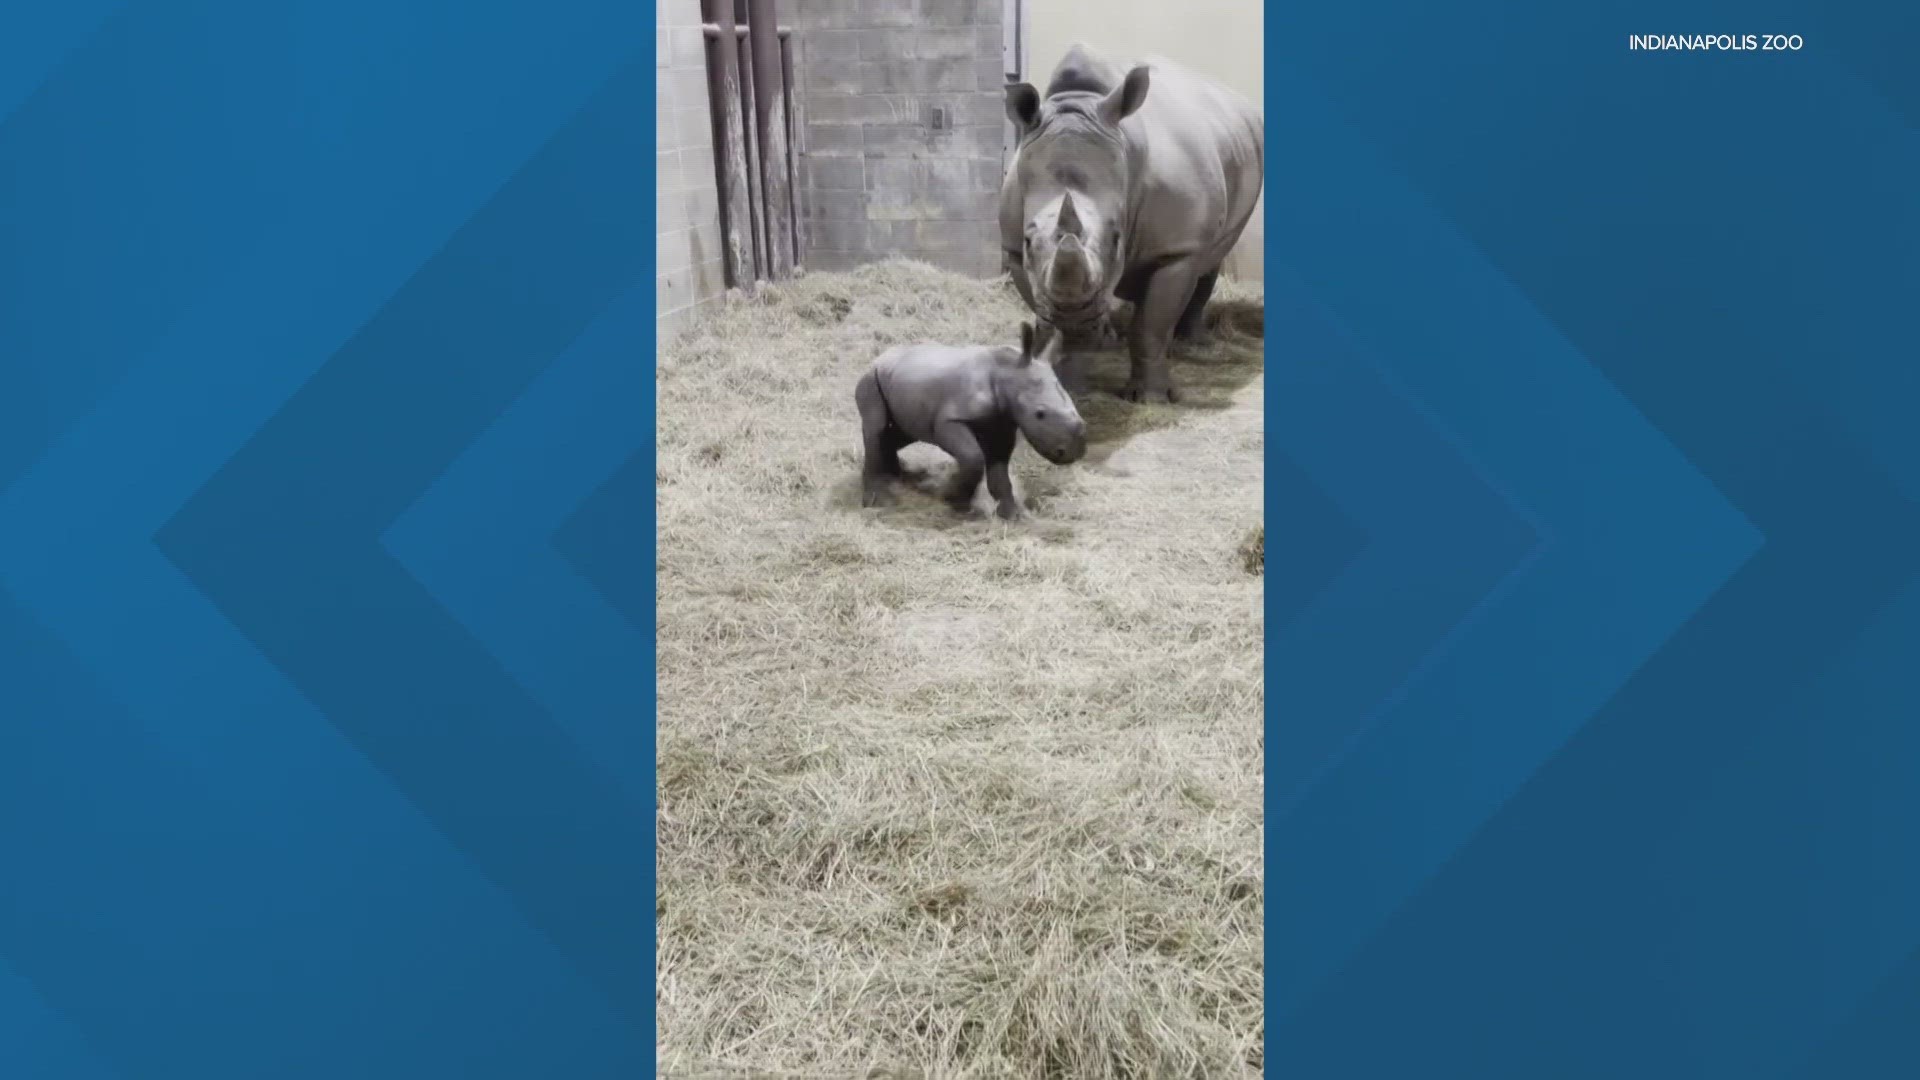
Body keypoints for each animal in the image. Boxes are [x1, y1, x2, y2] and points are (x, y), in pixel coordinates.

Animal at [852, 319, 1082, 518]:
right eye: (1040, 414)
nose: (1070, 453)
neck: (1007, 372)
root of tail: (881, 357)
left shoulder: (1003, 424)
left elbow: (1000, 471)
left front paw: (1011, 516)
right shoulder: (950, 420)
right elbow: (973, 457)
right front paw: (954, 500)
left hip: (901, 382)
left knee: (902, 433)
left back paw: (895, 474)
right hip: (871, 377)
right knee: (877, 427)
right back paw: (878, 501)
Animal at [1006, 44, 1259, 405]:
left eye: (1116, 239)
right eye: (1029, 242)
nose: (1076, 324)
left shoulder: (1176, 250)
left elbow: (1150, 327)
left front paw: (1150, 398)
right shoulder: (1014, 251)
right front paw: (1069, 389)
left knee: (1212, 257)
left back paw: (1191, 343)